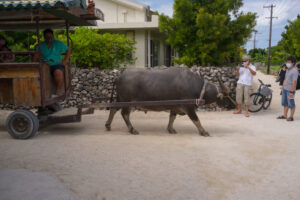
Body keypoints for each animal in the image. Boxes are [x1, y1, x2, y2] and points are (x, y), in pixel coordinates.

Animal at [105, 67, 234, 136]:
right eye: (226, 96)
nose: (232, 105)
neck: (198, 87)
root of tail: (119, 77)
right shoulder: (189, 108)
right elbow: (196, 120)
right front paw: (203, 132)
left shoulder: (175, 107)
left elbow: (172, 118)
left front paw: (170, 129)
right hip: (127, 101)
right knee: (124, 114)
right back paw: (133, 129)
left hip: (120, 99)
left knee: (113, 108)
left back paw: (108, 125)